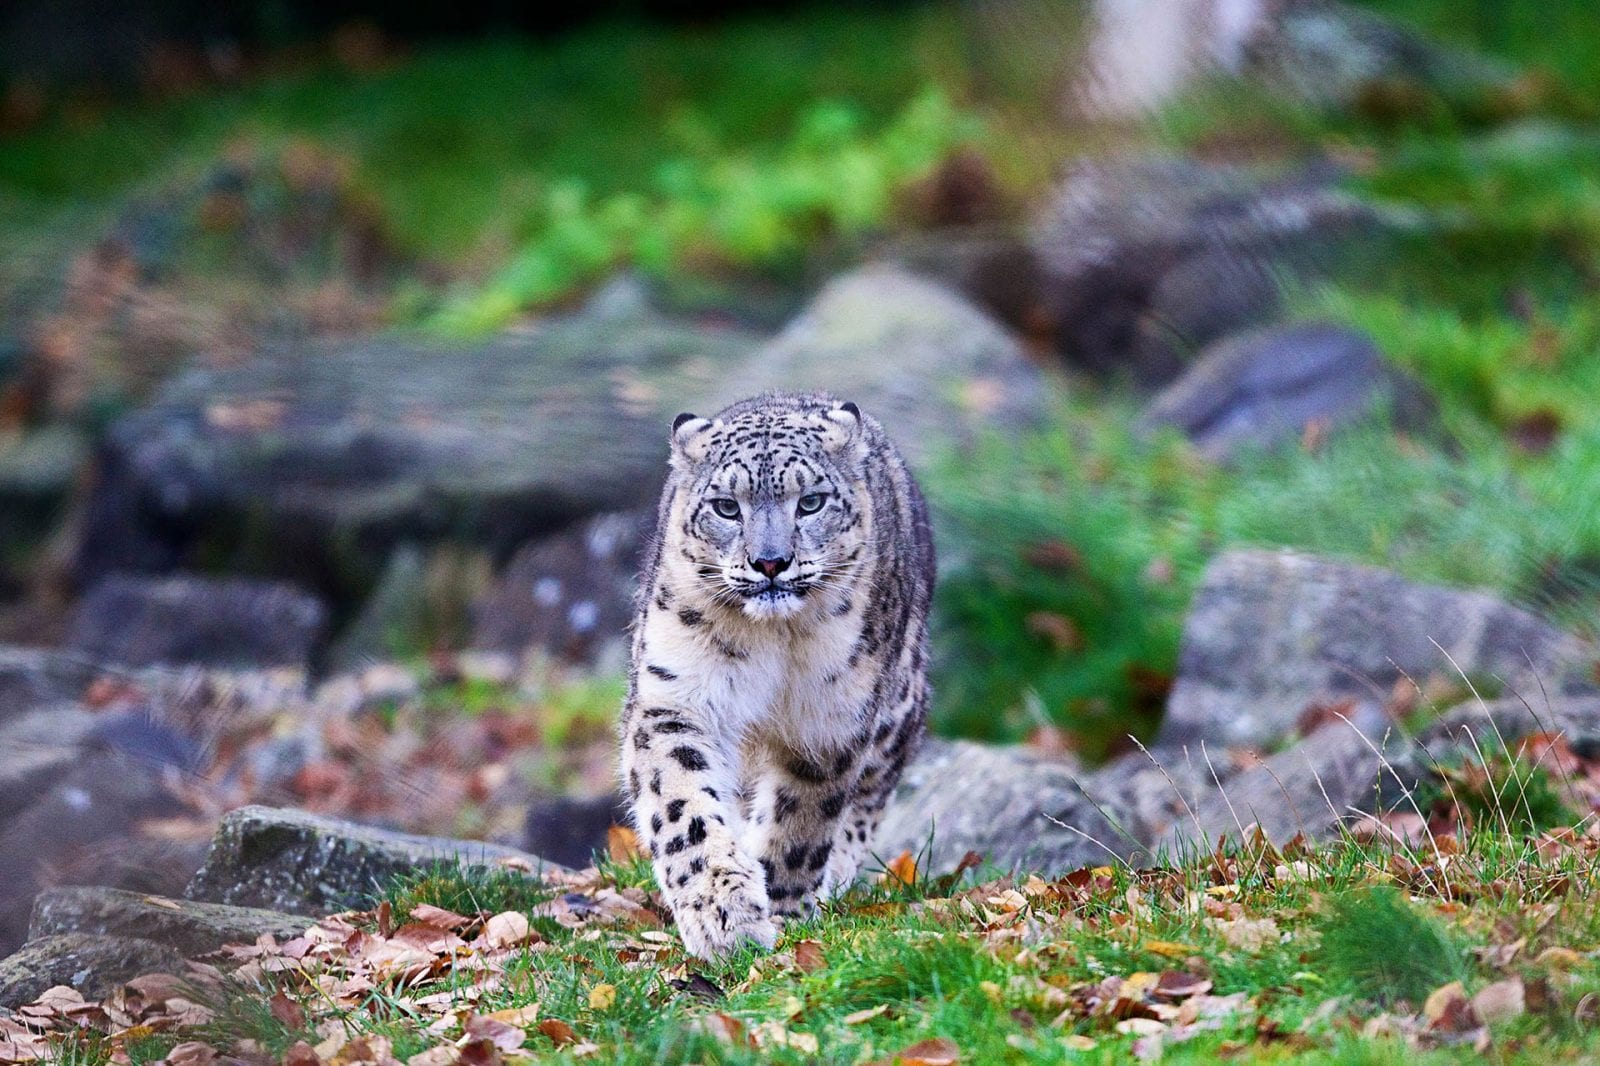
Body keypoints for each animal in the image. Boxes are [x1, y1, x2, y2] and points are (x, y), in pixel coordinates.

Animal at [614, 388, 934, 953]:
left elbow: (801, 821)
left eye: (810, 502)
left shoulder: (828, 720)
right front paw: (723, 916)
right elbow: (682, 804)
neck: (772, 644)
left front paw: (778, 909)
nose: (770, 562)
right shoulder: (676, 697)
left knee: (868, 796)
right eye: (726, 506)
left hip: (898, 708)